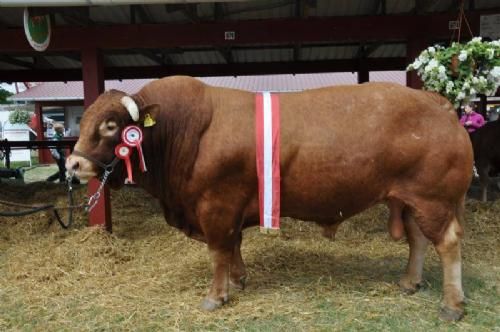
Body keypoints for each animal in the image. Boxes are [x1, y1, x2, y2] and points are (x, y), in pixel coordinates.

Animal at [66, 76, 472, 320]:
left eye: (111, 125)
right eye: (82, 121)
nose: (73, 164)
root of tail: (438, 103)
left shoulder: (216, 205)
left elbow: (218, 252)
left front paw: (216, 295)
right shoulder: (230, 209)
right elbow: (233, 247)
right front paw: (238, 279)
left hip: (433, 200)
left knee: (448, 243)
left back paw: (452, 304)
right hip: (413, 200)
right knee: (418, 239)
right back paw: (410, 282)